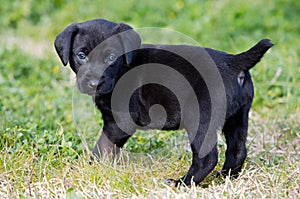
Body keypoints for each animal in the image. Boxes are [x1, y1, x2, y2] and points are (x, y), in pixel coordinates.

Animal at [55, 18, 274, 187]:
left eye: (111, 57)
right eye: (81, 55)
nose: (94, 83)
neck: (122, 70)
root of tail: (233, 62)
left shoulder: (120, 122)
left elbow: (102, 147)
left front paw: (89, 168)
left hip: (201, 118)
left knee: (207, 158)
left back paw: (182, 183)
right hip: (238, 117)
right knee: (237, 151)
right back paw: (223, 177)